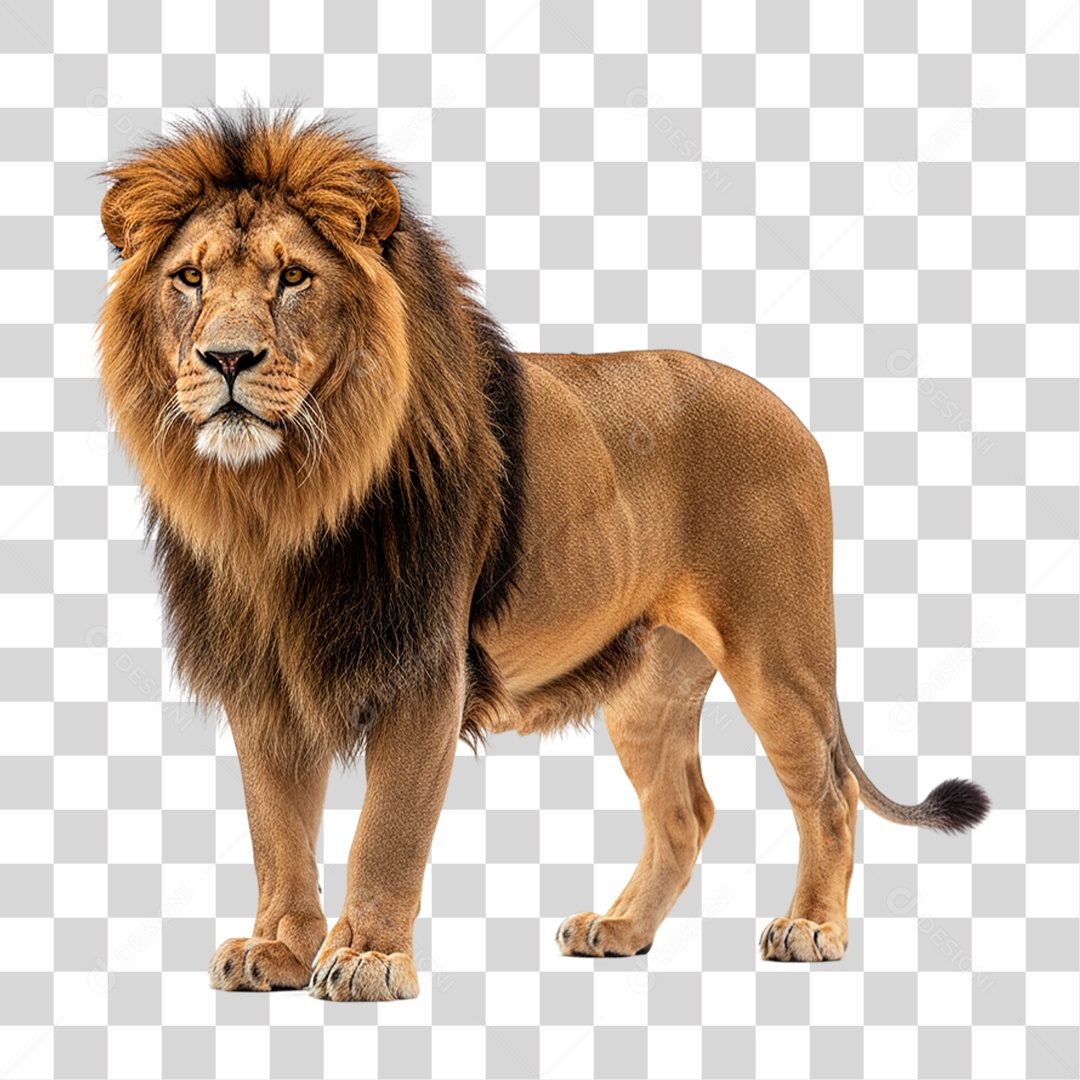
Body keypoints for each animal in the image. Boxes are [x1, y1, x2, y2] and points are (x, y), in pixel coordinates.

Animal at [96, 109, 990, 1001]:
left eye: (292, 278)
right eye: (189, 279)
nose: (227, 359)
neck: (279, 501)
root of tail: (791, 414)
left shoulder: (429, 668)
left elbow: (386, 829)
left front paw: (368, 958)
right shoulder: (264, 681)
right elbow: (277, 833)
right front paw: (278, 948)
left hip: (778, 654)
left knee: (829, 794)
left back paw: (811, 927)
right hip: (648, 685)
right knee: (686, 812)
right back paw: (619, 929)